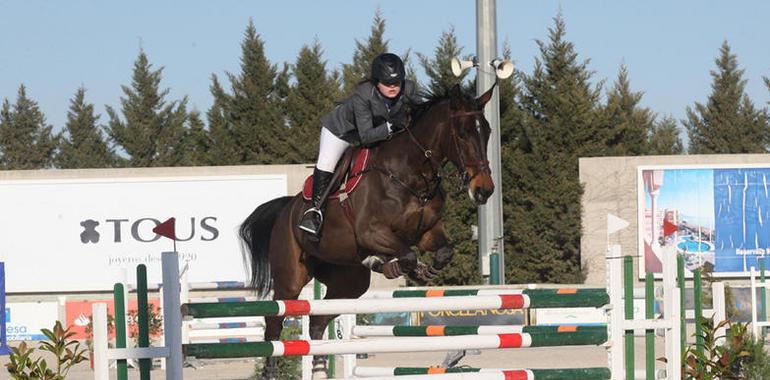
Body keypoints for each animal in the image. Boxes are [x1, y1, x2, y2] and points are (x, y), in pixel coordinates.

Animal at [237, 83, 496, 378]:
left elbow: (443, 252)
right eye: (463, 133)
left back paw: (320, 368)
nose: (484, 190)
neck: (409, 175)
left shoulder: (426, 232)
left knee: (318, 320)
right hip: (290, 279)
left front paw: (423, 271)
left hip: (348, 283)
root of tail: (286, 208)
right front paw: (397, 267)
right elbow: (407, 255)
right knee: (274, 323)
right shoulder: (372, 233)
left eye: (487, 132)